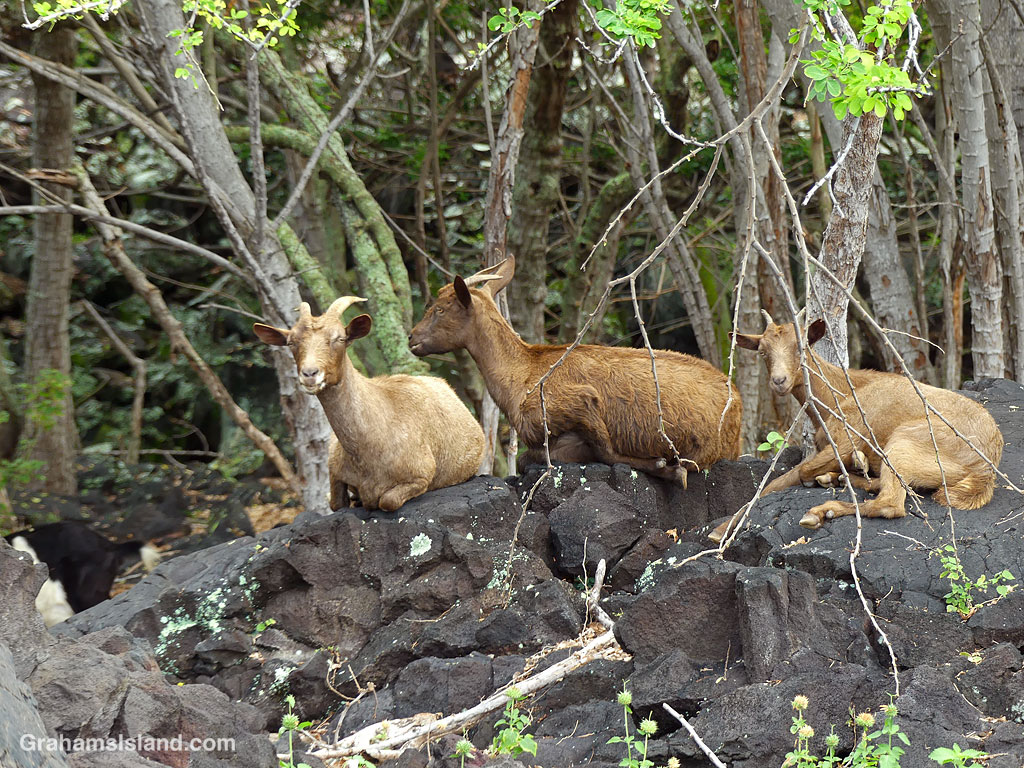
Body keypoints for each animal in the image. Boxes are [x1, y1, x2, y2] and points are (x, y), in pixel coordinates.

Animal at [254, 297, 486, 512]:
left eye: (339, 338)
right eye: (291, 342)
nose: (310, 374)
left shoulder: (422, 475)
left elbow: (387, 501)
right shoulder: (334, 471)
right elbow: (335, 503)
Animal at [408, 256, 742, 487]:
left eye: (439, 309)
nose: (412, 338)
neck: (521, 375)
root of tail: (737, 406)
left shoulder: (580, 402)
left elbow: (599, 452)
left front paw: (668, 468)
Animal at [709, 311, 1004, 541]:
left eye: (801, 347)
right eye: (762, 351)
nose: (779, 381)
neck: (836, 394)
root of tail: (984, 469)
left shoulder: (845, 436)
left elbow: (795, 473)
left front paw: (719, 531)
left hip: (904, 442)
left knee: (891, 504)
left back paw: (822, 510)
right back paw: (841, 476)